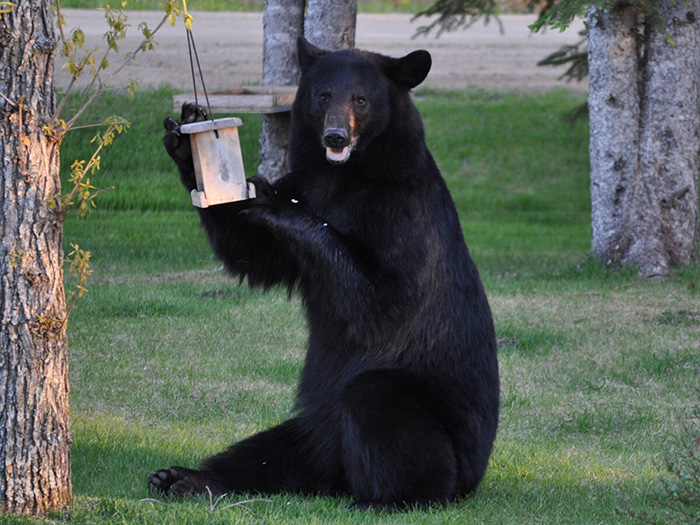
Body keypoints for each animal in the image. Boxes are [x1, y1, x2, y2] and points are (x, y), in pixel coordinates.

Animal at [149, 37, 498, 512]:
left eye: (361, 99)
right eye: (323, 95)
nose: (336, 136)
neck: (342, 177)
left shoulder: (404, 214)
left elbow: (383, 297)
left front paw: (273, 201)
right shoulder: (307, 183)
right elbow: (257, 255)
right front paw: (190, 142)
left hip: (433, 424)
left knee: (378, 408)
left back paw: (388, 498)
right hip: (313, 428)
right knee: (270, 453)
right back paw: (185, 478)